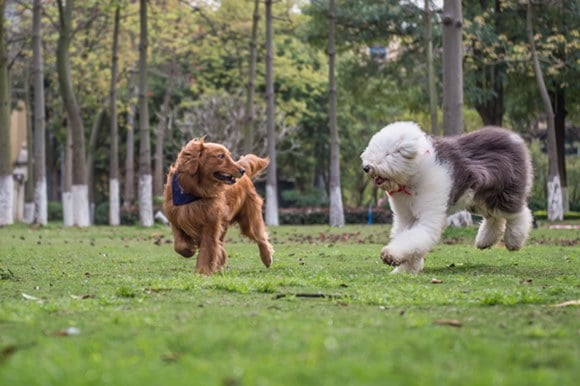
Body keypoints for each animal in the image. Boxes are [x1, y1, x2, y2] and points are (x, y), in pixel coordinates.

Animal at [362, 122, 536, 272]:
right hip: (478, 198)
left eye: (388, 154)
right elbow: (407, 240)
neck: (413, 177)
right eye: (372, 150)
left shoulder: (429, 216)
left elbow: (415, 237)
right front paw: (405, 269)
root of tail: (512, 136)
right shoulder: (405, 218)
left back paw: (514, 241)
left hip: (504, 192)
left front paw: (390, 255)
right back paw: (484, 241)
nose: (366, 167)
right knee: (494, 218)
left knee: (519, 213)